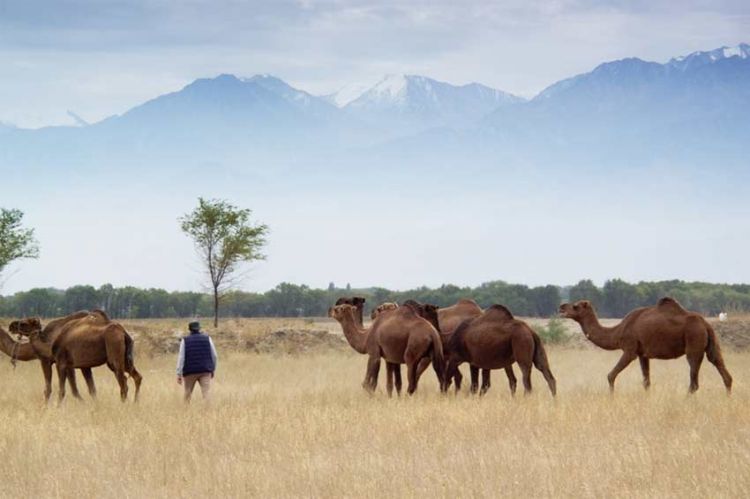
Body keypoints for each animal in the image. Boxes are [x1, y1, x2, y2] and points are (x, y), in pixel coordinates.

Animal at [16, 312, 144, 402]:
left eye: (24, 324)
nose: (14, 327)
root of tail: (123, 332)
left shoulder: (61, 363)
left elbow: (62, 391)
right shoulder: (73, 366)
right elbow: (82, 390)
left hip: (114, 352)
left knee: (124, 383)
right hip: (125, 358)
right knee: (137, 377)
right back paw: (135, 403)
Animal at [564, 296, 736, 394]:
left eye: (575, 306)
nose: (561, 307)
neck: (618, 331)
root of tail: (706, 324)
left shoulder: (630, 349)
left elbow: (611, 375)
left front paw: (611, 398)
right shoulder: (643, 354)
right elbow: (646, 382)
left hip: (694, 343)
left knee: (694, 381)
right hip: (711, 344)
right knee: (722, 369)